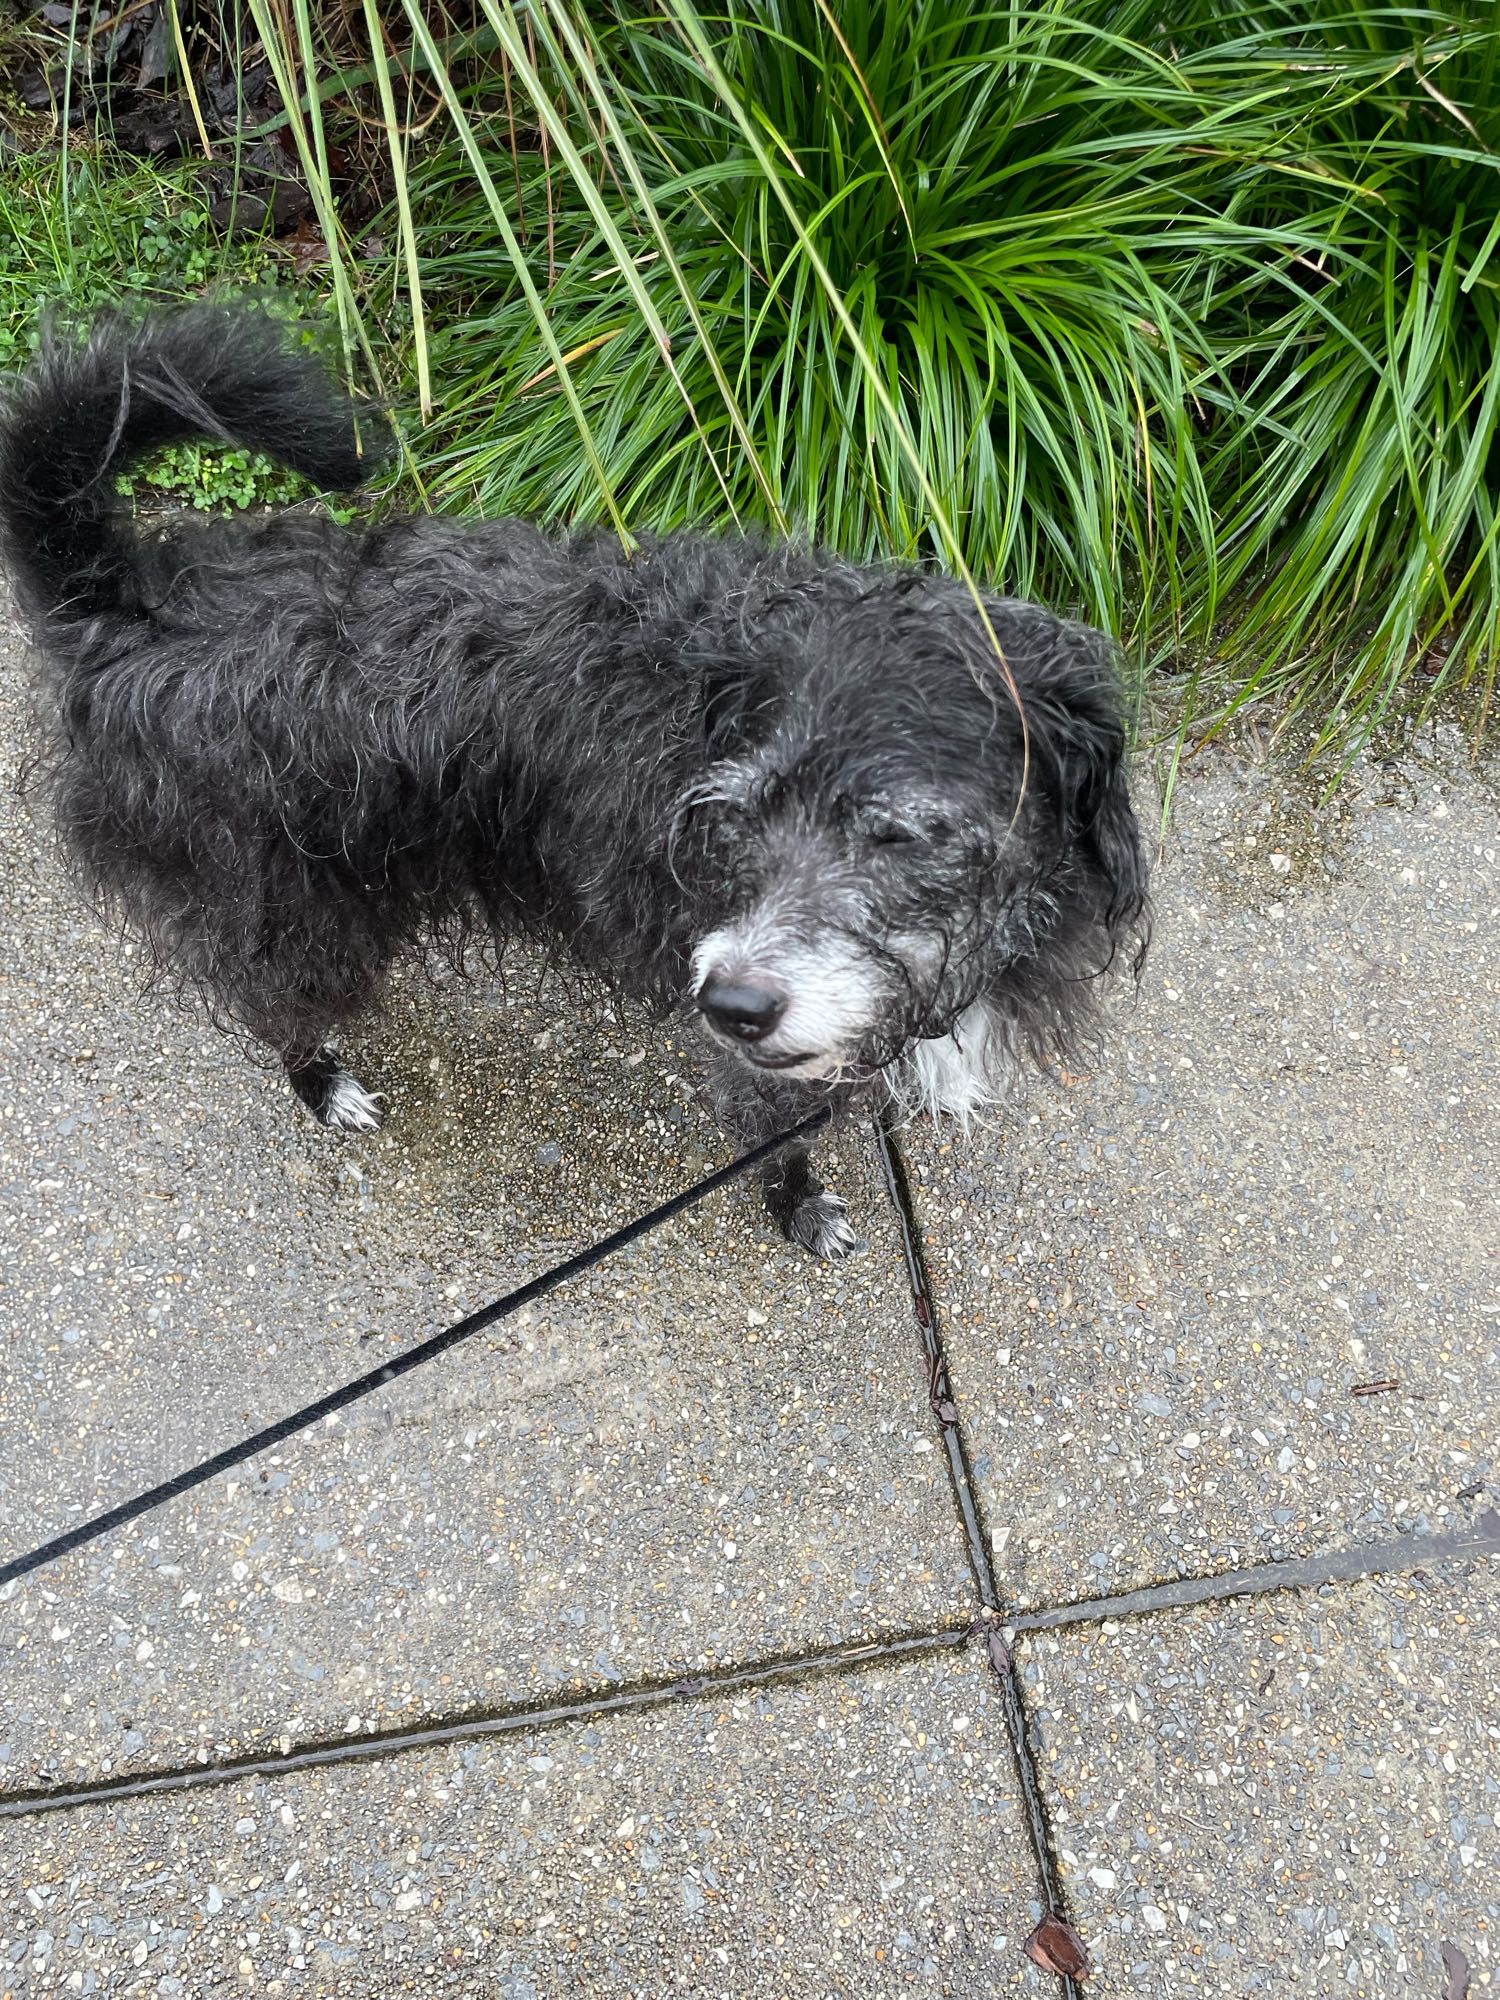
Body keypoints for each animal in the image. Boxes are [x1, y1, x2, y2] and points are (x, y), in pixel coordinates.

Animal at [0, 304, 1152, 1256]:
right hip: (299, 911)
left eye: (897, 835)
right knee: (271, 1001)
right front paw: (801, 1205)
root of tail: (127, 602)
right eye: (739, 821)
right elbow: (779, 1138)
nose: (728, 1001)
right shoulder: (752, 1051)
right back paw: (322, 1082)